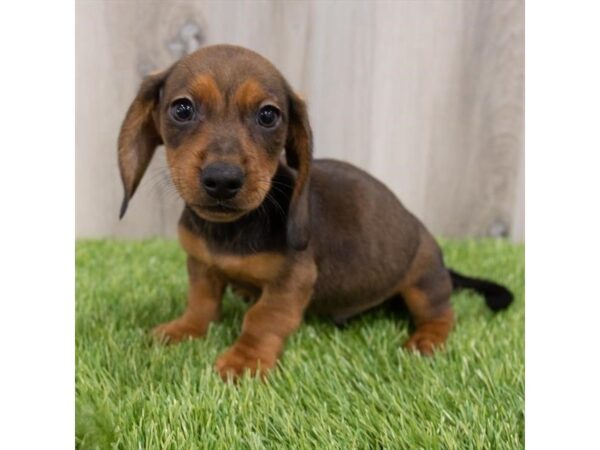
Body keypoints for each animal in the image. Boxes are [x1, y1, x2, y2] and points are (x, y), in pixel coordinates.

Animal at [118, 44, 516, 380]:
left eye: (268, 115)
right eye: (182, 109)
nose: (222, 180)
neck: (228, 231)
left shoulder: (293, 280)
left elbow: (263, 318)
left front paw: (245, 361)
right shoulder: (202, 264)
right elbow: (201, 303)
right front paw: (184, 329)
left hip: (422, 280)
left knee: (443, 312)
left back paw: (427, 339)